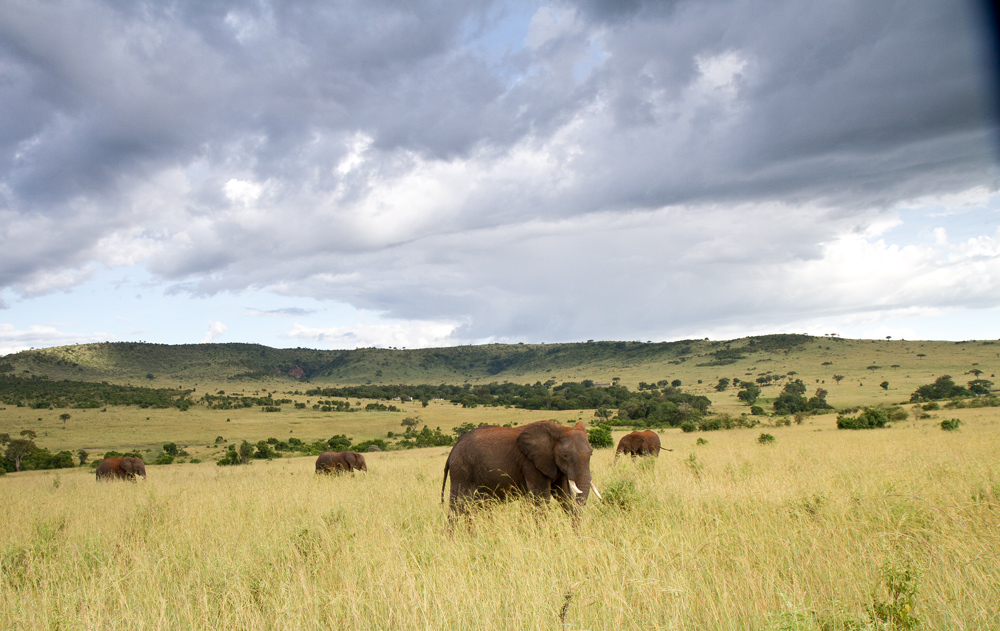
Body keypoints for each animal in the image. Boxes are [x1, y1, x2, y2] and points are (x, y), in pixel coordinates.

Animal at [440, 422, 600, 516]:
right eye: (565, 455)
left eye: (591, 453)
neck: (557, 430)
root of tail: (453, 449)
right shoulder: (531, 463)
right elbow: (542, 499)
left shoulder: (553, 465)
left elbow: (564, 495)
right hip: (462, 471)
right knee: (458, 506)